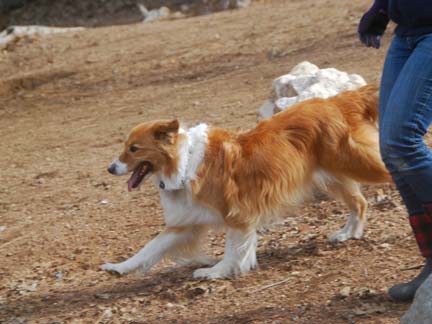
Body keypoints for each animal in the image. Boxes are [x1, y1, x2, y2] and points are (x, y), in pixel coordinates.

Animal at [101, 85, 392, 278]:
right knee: (360, 202)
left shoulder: (237, 215)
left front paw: (216, 272)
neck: (184, 162)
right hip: (332, 178)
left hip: (358, 164)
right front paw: (118, 267)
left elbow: (233, 249)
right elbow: (148, 249)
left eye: (134, 149)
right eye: (126, 147)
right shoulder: (185, 223)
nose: (110, 168)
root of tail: (338, 100)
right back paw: (348, 233)